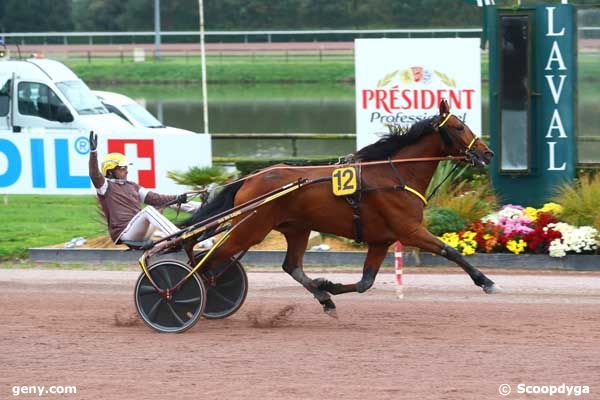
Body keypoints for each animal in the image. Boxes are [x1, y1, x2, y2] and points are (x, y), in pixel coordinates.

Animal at [182, 100, 496, 316]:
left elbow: (366, 282)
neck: (393, 175)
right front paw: (485, 281)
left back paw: (324, 298)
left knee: (290, 266)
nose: (487, 153)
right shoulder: (409, 231)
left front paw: (328, 287)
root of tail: (250, 178)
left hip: (297, 228)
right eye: (459, 127)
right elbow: (451, 251)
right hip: (249, 230)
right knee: (203, 261)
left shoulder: (381, 240)